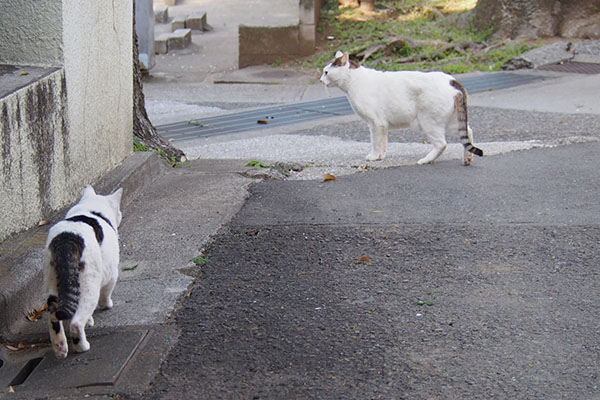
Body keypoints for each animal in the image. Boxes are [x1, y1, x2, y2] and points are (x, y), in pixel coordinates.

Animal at [46, 186, 124, 358]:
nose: (121, 215)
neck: (90, 209)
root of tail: (66, 240)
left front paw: (89, 321)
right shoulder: (112, 273)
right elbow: (107, 293)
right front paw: (107, 305)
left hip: (53, 283)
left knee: (54, 315)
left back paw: (60, 348)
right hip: (89, 286)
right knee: (75, 323)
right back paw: (82, 346)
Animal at [318, 50, 482, 165]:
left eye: (326, 72)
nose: (320, 80)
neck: (353, 81)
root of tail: (452, 80)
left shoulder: (375, 123)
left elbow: (375, 142)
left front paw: (374, 156)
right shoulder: (382, 125)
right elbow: (382, 143)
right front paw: (380, 157)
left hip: (429, 122)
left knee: (442, 144)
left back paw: (426, 160)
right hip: (452, 122)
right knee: (468, 132)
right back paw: (467, 158)